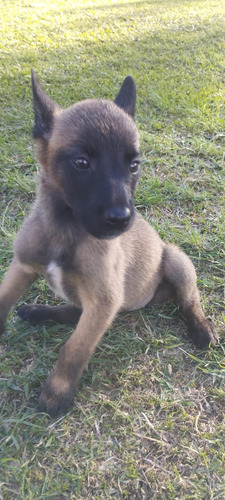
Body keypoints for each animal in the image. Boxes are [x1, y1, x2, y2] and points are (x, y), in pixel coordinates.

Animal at [0, 72, 218, 416]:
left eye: (134, 165)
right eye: (81, 162)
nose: (122, 218)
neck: (66, 229)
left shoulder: (103, 301)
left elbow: (74, 349)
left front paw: (57, 392)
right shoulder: (22, 267)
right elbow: (3, 302)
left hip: (175, 260)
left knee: (189, 301)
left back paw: (201, 327)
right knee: (74, 313)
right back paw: (40, 312)